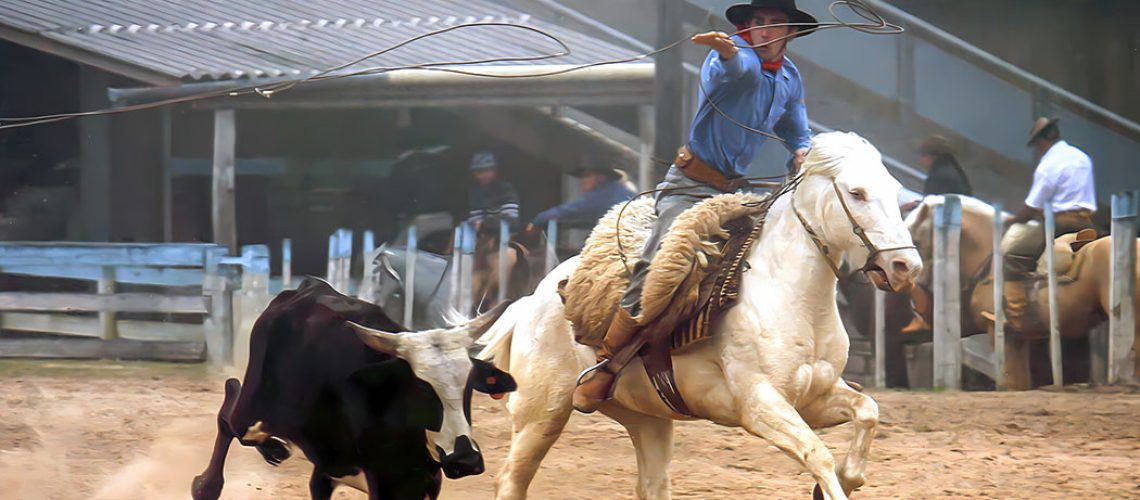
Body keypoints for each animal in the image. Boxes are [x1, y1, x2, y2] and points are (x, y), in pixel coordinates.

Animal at [476, 133, 921, 500]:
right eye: (857, 193)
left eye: (895, 192)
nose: (906, 266)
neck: (794, 296)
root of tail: (531, 301)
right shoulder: (760, 405)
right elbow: (817, 453)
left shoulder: (815, 397)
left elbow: (867, 412)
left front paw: (850, 476)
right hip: (542, 414)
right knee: (511, 481)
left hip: (647, 419)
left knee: (652, 487)